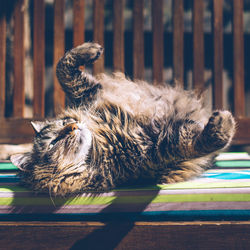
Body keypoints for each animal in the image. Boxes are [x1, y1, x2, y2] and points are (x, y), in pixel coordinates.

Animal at [10, 42, 235, 195]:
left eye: (65, 123)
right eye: (54, 142)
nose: (73, 126)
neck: (102, 134)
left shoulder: (90, 94)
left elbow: (63, 68)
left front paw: (91, 49)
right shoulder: (153, 149)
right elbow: (193, 141)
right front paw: (222, 125)